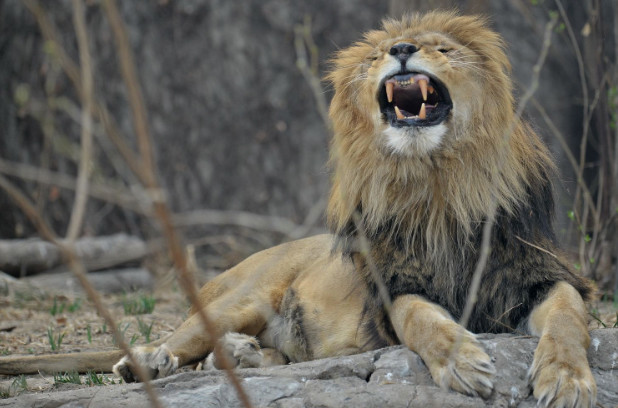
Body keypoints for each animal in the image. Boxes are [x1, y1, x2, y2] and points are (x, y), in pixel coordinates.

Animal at [1, 11, 596, 406]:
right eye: (378, 55)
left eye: (443, 50)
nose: (402, 48)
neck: (437, 185)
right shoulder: (391, 289)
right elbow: (424, 319)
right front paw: (463, 361)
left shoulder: (534, 274)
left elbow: (569, 318)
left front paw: (568, 380)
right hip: (239, 297)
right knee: (177, 339)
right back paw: (151, 360)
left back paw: (243, 355)